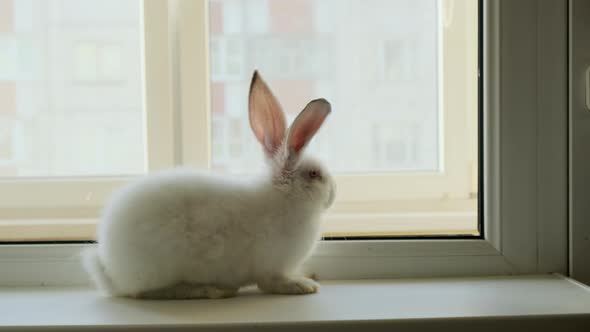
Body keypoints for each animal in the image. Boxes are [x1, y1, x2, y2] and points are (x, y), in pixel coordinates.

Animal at [82, 71, 338, 300]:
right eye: (314, 174)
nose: (333, 195)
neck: (284, 196)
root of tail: (112, 271)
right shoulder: (272, 267)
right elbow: (272, 283)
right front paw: (302, 286)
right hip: (161, 267)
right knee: (147, 293)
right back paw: (211, 291)